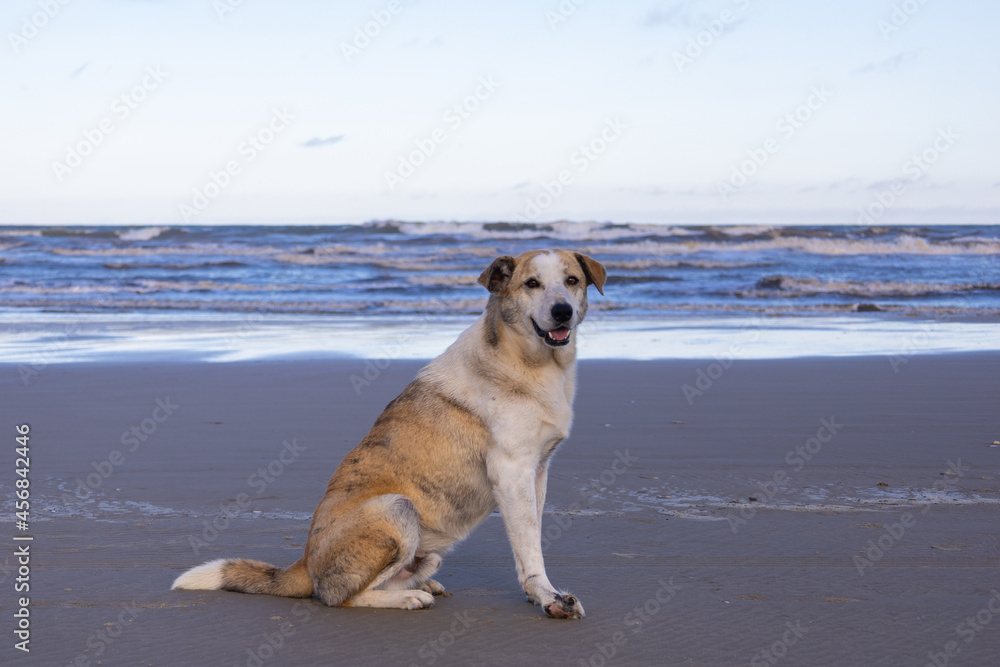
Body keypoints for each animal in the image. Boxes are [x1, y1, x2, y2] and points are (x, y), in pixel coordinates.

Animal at [172, 250, 604, 620]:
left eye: (572, 280)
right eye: (531, 283)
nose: (562, 311)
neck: (531, 363)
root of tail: (305, 561)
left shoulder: (538, 470)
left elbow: (533, 536)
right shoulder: (511, 471)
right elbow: (530, 547)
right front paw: (547, 596)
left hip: (425, 548)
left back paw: (420, 584)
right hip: (397, 508)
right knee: (336, 596)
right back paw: (407, 598)